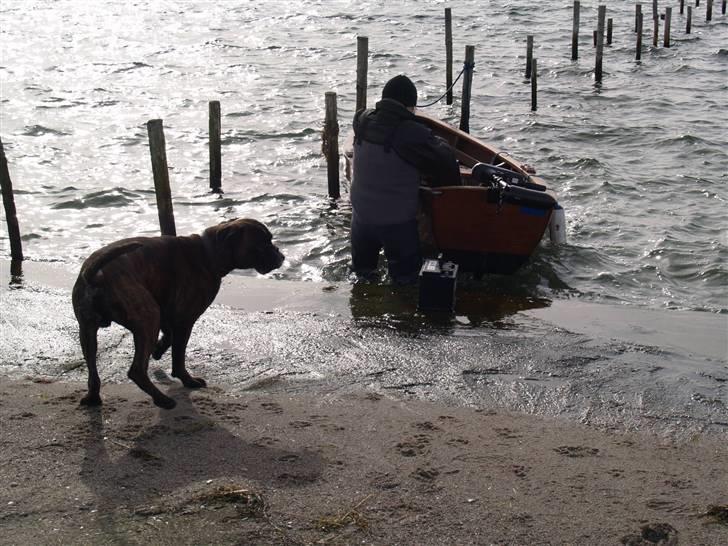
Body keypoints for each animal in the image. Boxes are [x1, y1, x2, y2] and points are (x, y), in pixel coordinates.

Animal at [70, 218, 282, 408]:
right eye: (263, 243)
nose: (281, 255)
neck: (208, 253)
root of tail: (94, 274)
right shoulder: (184, 320)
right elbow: (178, 355)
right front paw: (187, 380)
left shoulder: (168, 310)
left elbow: (168, 336)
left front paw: (157, 350)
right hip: (148, 317)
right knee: (136, 370)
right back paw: (162, 399)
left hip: (88, 331)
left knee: (92, 370)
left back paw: (93, 397)